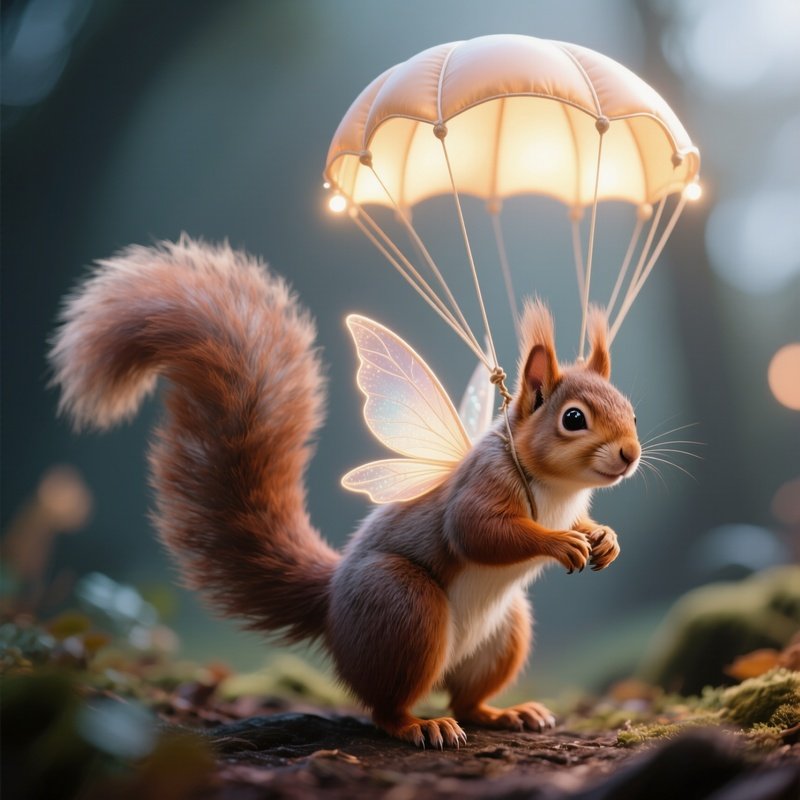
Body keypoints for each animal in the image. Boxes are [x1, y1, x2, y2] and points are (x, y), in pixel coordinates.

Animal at [49, 237, 641, 748]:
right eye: (573, 418)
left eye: (632, 411)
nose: (631, 454)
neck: (558, 488)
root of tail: (331, 603)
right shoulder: (482, 485)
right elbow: (480, 532)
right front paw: (559, 542)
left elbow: (579, 524)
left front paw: (604, 538)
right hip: (403, 607)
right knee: (385, 706)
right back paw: (420, 725)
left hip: (504, 634)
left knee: (467, 699)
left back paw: (505, 712)